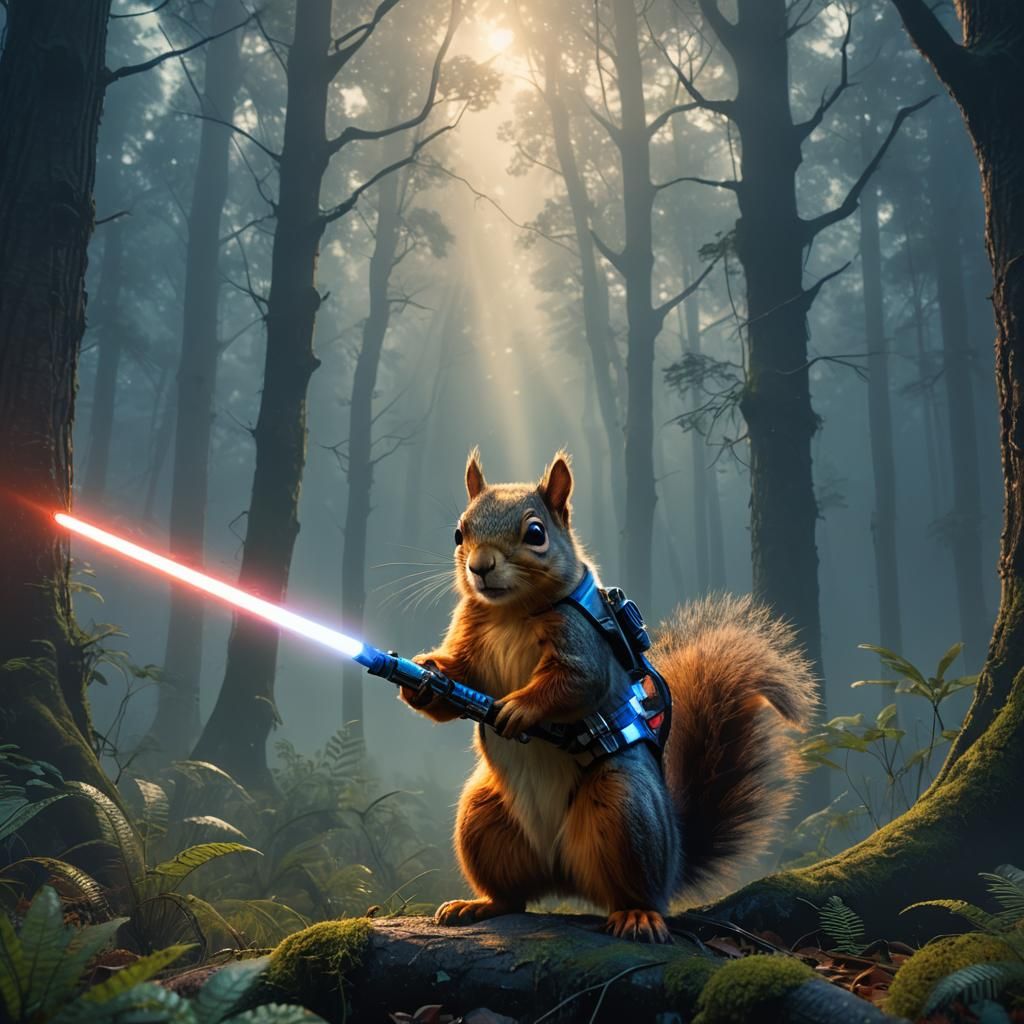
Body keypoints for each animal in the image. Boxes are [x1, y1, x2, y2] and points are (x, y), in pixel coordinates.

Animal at [399, 448, 816, 943]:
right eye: (459, 532)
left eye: (535, 533)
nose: (480, 567)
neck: (509, 612)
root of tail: (563, 876)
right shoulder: (469, 636)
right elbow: (457, 681)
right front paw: (423, 676)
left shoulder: (583, 645)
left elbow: (576, 682)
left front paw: (519, 707)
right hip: (482, 817)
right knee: (513, 896)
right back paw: (479, 904)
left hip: (623, 811)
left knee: (635, 890)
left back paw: (637, 915)